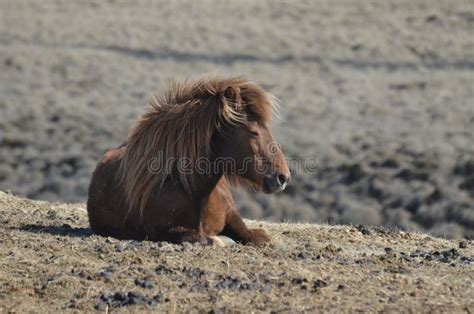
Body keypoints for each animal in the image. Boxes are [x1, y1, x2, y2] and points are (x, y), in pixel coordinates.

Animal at [87, 75, 290, 245]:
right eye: (253, 132)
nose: (283, 177)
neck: (196, 192)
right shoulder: (162, 231)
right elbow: (205, 239)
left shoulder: (232, 214)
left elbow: (257, 235)